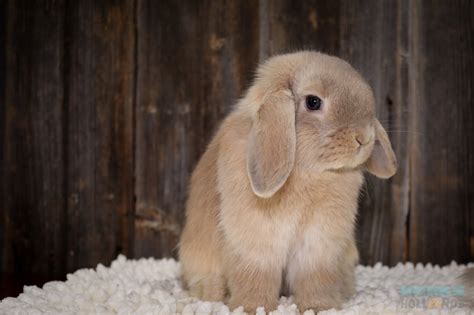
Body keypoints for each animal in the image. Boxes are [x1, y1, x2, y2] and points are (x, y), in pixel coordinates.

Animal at [178, 50, 396, 314]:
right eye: (313, 102)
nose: (363, 138)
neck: (307, 171)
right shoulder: (255, 241)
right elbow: (256, 273)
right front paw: (254, 307)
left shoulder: (319, 243)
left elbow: (315, 276)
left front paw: (320, 307)